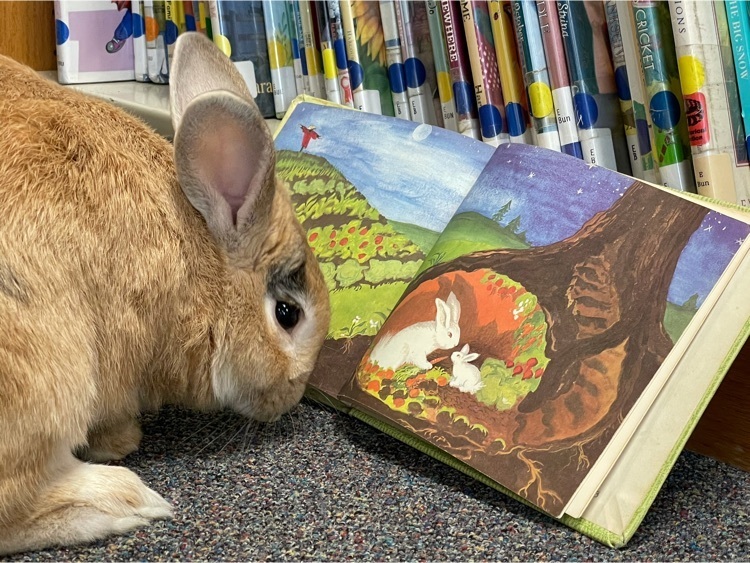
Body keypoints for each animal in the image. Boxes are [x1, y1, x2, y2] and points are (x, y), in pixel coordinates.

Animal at [0, 32, 332, 556]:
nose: (290, 399)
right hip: (49, 375)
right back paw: (124, 502)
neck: (199, 280)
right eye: (287, 314)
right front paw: (121, 442)